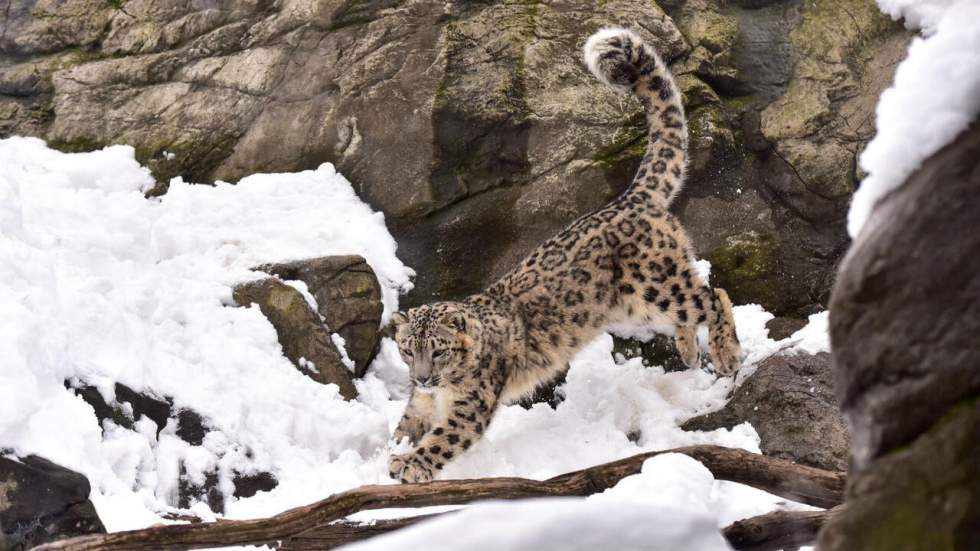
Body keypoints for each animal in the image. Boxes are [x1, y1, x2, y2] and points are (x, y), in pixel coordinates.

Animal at [386, 27, 740, 484]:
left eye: (439, 349)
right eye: (407, 349)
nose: (424, 376)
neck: (443, 389)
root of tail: (630, 199)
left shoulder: (470, 404)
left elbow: (444, 438)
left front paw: (408, 465)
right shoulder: (423, 402)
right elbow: (407, 422)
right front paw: (391, 448)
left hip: (655, 286)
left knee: (713, 295)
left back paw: (727, 354)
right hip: (637, 307)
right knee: (694, 301)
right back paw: (689, 350)